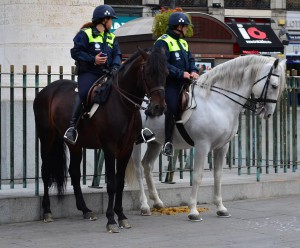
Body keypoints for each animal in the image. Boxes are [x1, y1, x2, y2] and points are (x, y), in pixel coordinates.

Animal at [34, 48, 168, 232]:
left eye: (166, 73)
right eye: (148, 73)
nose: (158, 107)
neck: (121, 103)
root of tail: (46, 90)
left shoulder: (126, 149)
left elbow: (119, 183)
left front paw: (122, 216)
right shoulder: (109, 148)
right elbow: (111, 183)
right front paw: (111, 219)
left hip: (74, 144)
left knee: (74, 172)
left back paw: (85, 210)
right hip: (47, 138)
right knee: (46, 171)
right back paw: (47, 211)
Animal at [129, 54, 286, 221]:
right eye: (274, 85)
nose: (268, 114)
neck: (217, 103)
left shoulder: (223, 147)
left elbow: (218, 175)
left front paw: (221, 208)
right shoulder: (202, 146)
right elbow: (198, 176)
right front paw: (193, 211)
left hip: (156, 142)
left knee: (147, 166)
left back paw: (157, 202)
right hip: (136, 142)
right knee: (139, 169)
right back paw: (144, 206)